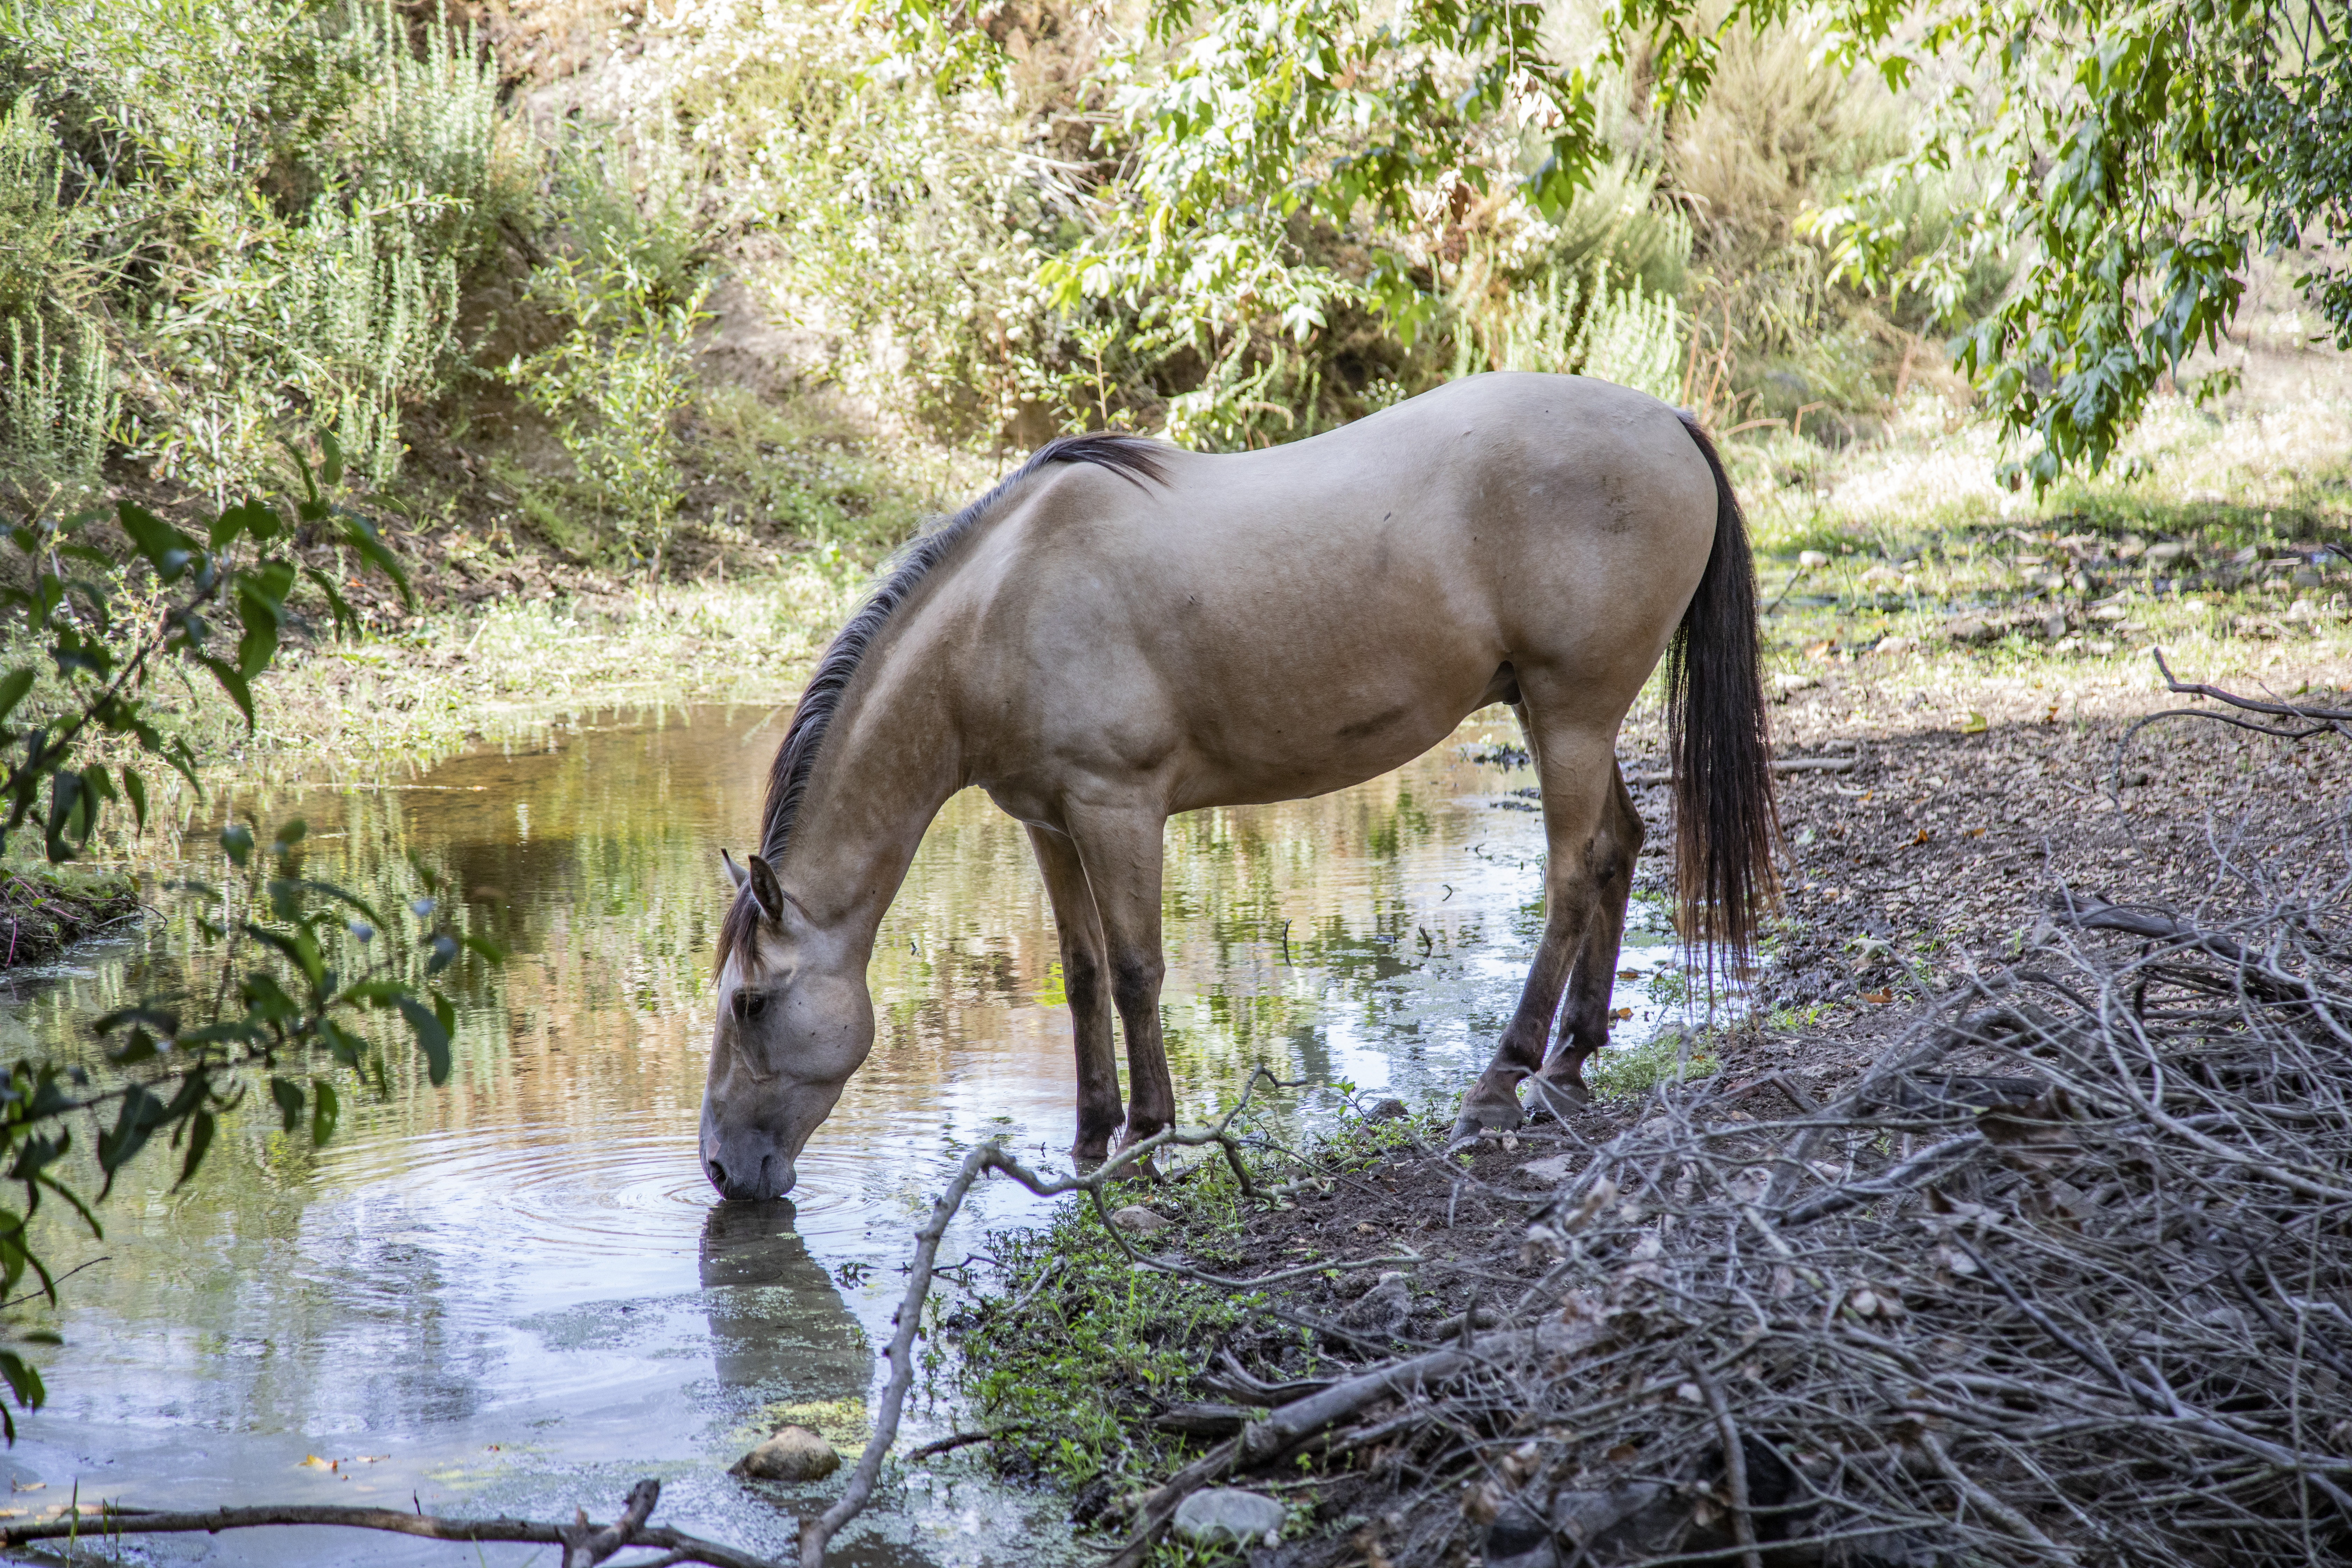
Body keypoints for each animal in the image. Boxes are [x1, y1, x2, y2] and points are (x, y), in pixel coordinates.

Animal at [698, 371, 1776, 1200]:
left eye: (750, 1004)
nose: (719, 1169)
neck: (997, 615)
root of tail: (1667, 422)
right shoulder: (1049, 822)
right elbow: (1083, 975)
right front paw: (1089, 1140)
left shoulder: (1117, 809)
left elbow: (1137, 972)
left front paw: (1145, 1141)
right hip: (1560, 717)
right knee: (1619, 848)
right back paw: (1570, 1062)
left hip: (1571, 715)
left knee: (1571, 875)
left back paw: (1498, 1086)